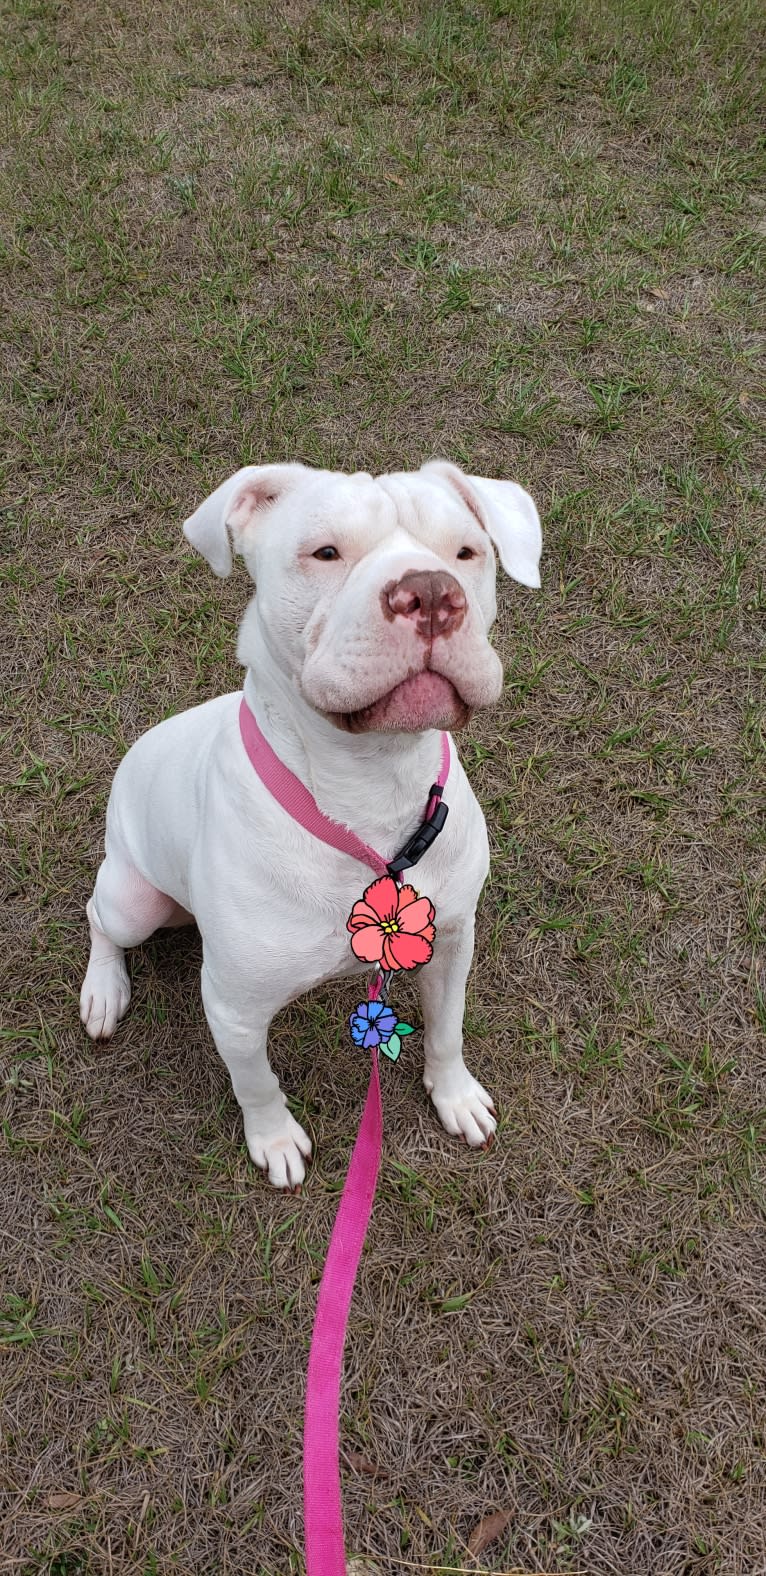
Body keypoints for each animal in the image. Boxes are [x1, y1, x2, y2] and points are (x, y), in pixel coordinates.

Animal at [80, 460, 542, 1185]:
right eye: (325, 553)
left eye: (467, 553)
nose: (430, 592)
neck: (373, 786)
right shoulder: (235, 1010)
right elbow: (256, 1083)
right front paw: (274, 1142)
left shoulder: (453, 942)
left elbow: (447, 1029)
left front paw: (456, 1095)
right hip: (134, 899)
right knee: (100, 918)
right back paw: (103, 990)